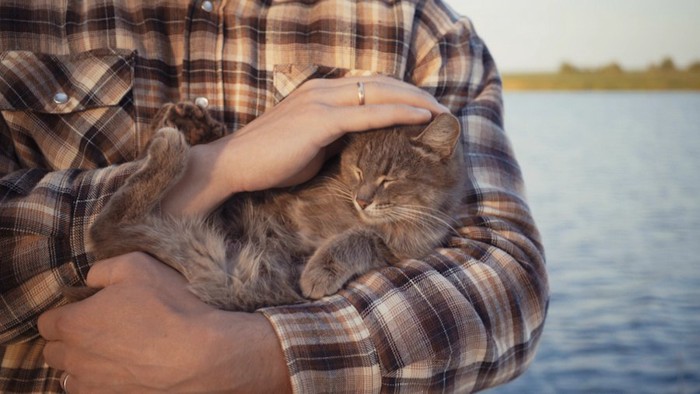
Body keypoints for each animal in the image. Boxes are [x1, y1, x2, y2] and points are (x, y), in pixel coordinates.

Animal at [80, 101, 464, 310]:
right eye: (357, 170)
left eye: (389, 179)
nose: (363, 198)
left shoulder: (402, 246)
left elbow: (358, 238)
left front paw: (320, 270)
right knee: (105, 228)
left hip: (223, 270)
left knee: (104, 230)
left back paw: (170, 147)